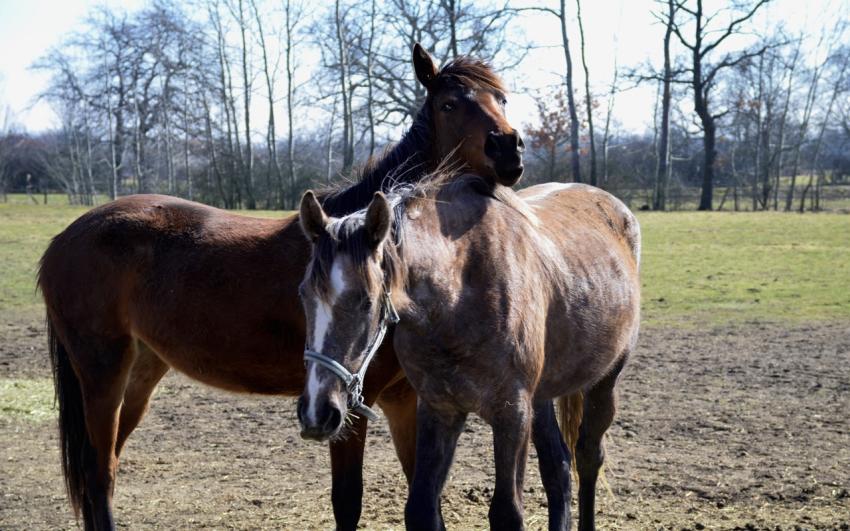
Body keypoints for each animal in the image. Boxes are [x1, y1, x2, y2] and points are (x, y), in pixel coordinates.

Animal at [37, 44, 525, 531]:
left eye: (501, 99)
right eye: (449, 104)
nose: (509, 148)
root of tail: (64, 239)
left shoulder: (405, 401)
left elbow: (425, 502)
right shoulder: (345, 404)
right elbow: (348, 501)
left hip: (141, 370)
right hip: (102, 372)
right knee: (99, 474)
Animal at [295, 177, 641, 531]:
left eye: (366, 300)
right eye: (303, 294)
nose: (317, 413)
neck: (458, 295)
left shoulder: (511, 414)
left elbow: (506, 513)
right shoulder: (439, 409)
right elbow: (421, 509)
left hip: (604, 382)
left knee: (587, 456)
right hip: (541, 397)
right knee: (557, 466)